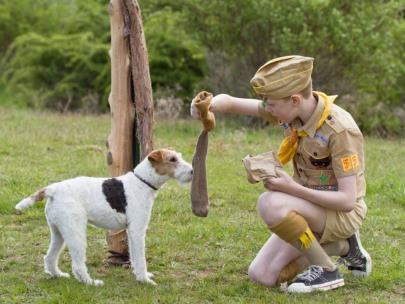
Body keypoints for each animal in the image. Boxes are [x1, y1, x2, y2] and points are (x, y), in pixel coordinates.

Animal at [15, 148, 193, 286]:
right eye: (172, 159)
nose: (192, 171)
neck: (142, 181)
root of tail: (53, 189)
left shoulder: (130, 231)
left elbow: (135, 257)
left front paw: (140, 275)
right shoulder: (137, 230)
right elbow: (140, 258)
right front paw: (144, 280)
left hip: (59, 232)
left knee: (50, 257)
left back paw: (58, 275)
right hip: (75, 232)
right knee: (77, 265)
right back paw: (91, 283)